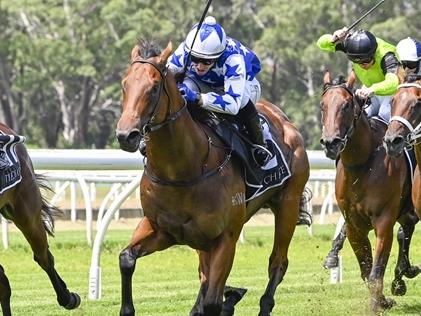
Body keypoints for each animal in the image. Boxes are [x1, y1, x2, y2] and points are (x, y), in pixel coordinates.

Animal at [115, 40, 308, 316]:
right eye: (125, 84)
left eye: (153, 88)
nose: (126, 135)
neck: (182, 171)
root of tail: (285, 121)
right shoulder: (161, 229)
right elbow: (126, 259)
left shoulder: (226, 238)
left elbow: (213, 302)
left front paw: (227, 299)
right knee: (205, 274)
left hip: (288, 204)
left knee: (277, 262)